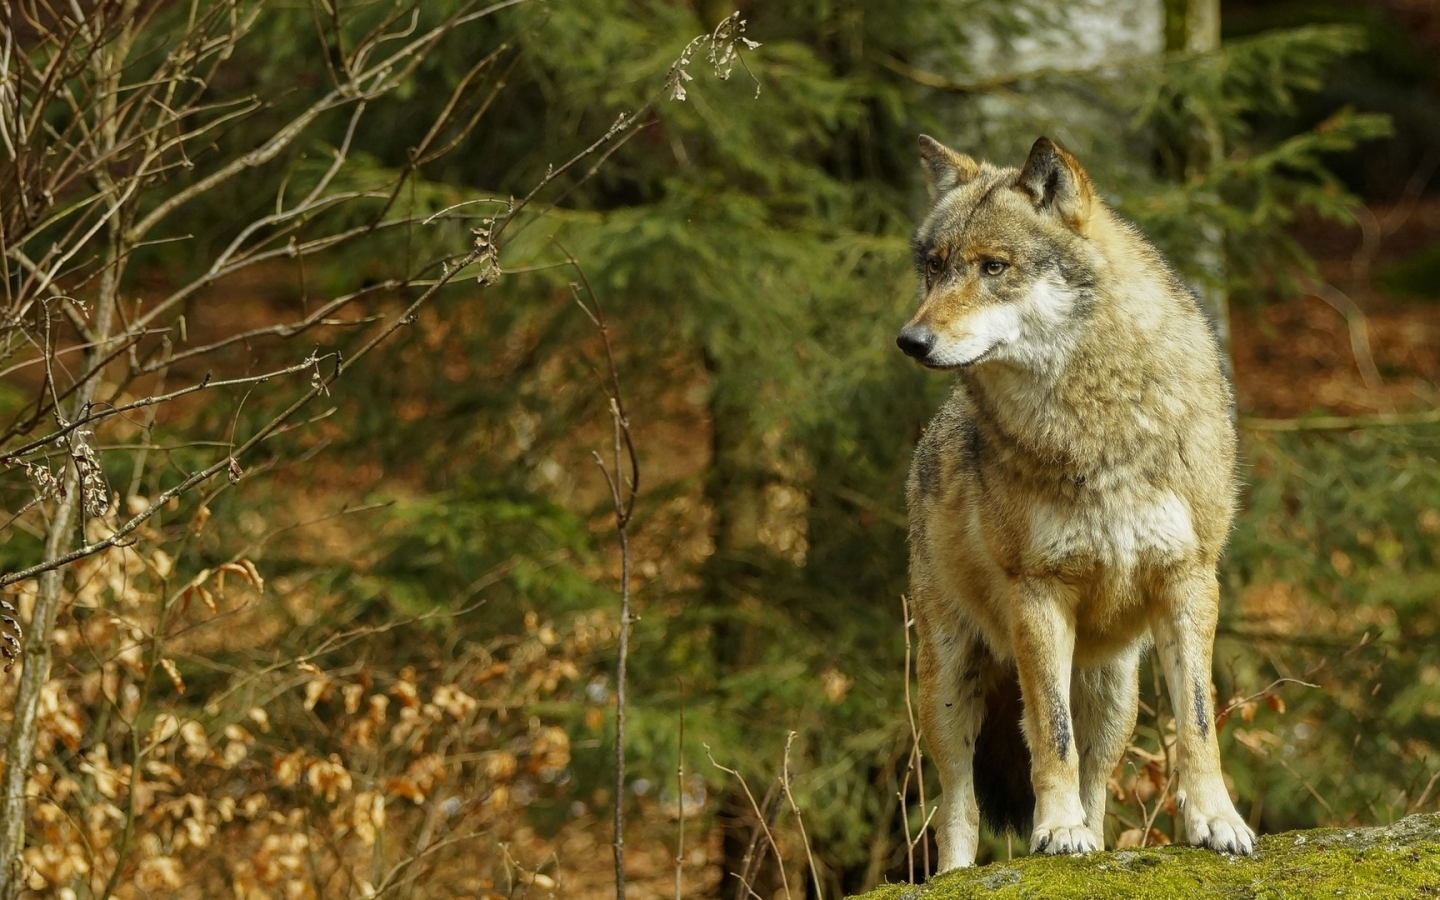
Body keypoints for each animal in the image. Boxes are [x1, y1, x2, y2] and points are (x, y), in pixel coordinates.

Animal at [904, 135, 1255, 869]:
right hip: (948, 683)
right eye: (935, 268)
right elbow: (1050, 737)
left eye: (994, 267)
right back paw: (961, 871)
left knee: (1097, 783)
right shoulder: (1038, 593)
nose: (910, 340)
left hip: (1114, 693)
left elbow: (1198, 724)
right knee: (958, 804)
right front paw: (1056, 830)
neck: (1097, 422)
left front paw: (1217, 822)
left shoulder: (1190, 580)